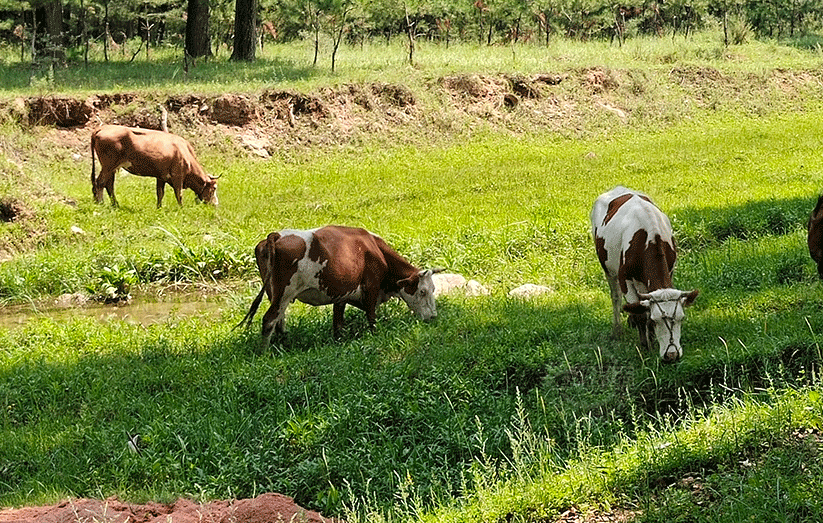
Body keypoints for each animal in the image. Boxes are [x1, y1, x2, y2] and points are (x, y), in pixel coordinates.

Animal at [90, 125, 219, 209]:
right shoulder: (178, 176)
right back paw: (101, 203)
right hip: (108, 165)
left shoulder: (161, 176)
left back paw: (115, 204)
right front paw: (181, 208)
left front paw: (159, 208)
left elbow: (160, 193)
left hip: (111, 167)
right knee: (100, 182)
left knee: (109, 184)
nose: (216, 205)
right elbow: (179, 194)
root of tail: (103, 127)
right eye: (214, 188)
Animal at [238, 224, 444, 344]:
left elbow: (338, 322)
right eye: (423, 291)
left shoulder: (341, 294)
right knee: (269, 320)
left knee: (279, 320)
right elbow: (371, 317)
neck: (375, 249)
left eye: (434, 289)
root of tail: (277, 235)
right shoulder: (371, 287)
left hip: (275, 295)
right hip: (284, 292)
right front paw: (375, 335)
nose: (433, 317)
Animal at [588, 186, 700, 362]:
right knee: (616, 297)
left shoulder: (670, 271)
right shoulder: (625, 278)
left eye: (682, 318)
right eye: (656, 320)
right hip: (607, 268)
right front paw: (645, 345)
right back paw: (617, 330)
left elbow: (643, 310)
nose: (672, 355)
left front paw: (651, 340)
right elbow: (642, 314)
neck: (650, 238)